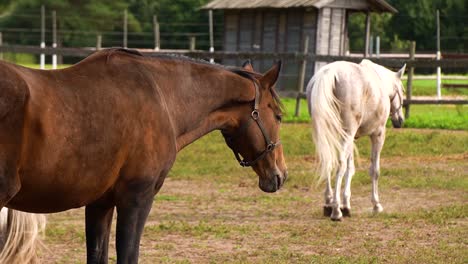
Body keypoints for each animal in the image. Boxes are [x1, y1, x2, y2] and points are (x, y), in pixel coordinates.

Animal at [308, 59, 406, 221]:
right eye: (402, 92)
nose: (400, 120)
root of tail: (330, 72)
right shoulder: (378, 135)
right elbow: (374, 170)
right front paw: (376, 205)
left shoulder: (350, 138)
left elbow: (350, 169)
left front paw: (346, 203)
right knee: (339, 165)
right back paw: (336, 211)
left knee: (328, 160)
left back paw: (329, 203)